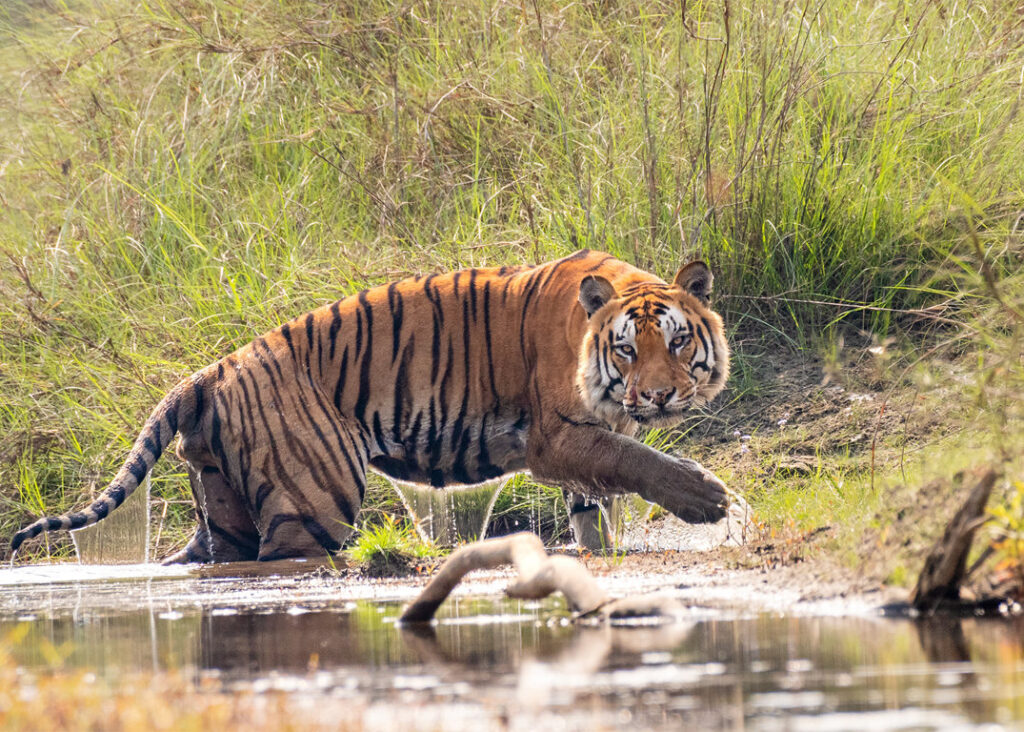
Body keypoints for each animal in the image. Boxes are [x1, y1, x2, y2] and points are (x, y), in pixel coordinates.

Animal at [8, 248, 729, 565]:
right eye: (627, 350)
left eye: (677, 340)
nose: (657, 394)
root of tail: (210, 372)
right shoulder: (557, 437)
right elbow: (633, 461)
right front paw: (708, 500)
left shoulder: (584, 444)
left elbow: (596, 503)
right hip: (312, 499)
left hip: (223, 507)